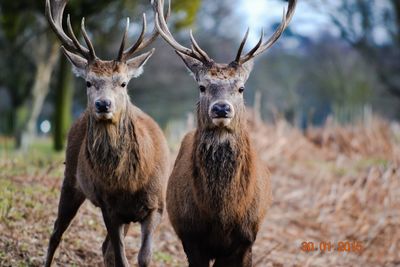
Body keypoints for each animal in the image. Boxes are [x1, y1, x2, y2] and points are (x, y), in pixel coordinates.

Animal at [45, 0, 170, 267]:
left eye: (123, 83)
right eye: (88, 82)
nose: (103, 104)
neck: (128, 182)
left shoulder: (157, 205)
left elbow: (144, 257)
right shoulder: (108, 206)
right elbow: (121, 257)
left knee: (103, 248)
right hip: (70, 179)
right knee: (56, 232)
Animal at [153, 0, 296, 266]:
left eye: (241, 88)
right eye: (202, 86)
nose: (221, 108)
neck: (221, 215)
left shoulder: (246, 238)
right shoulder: (190, 236)